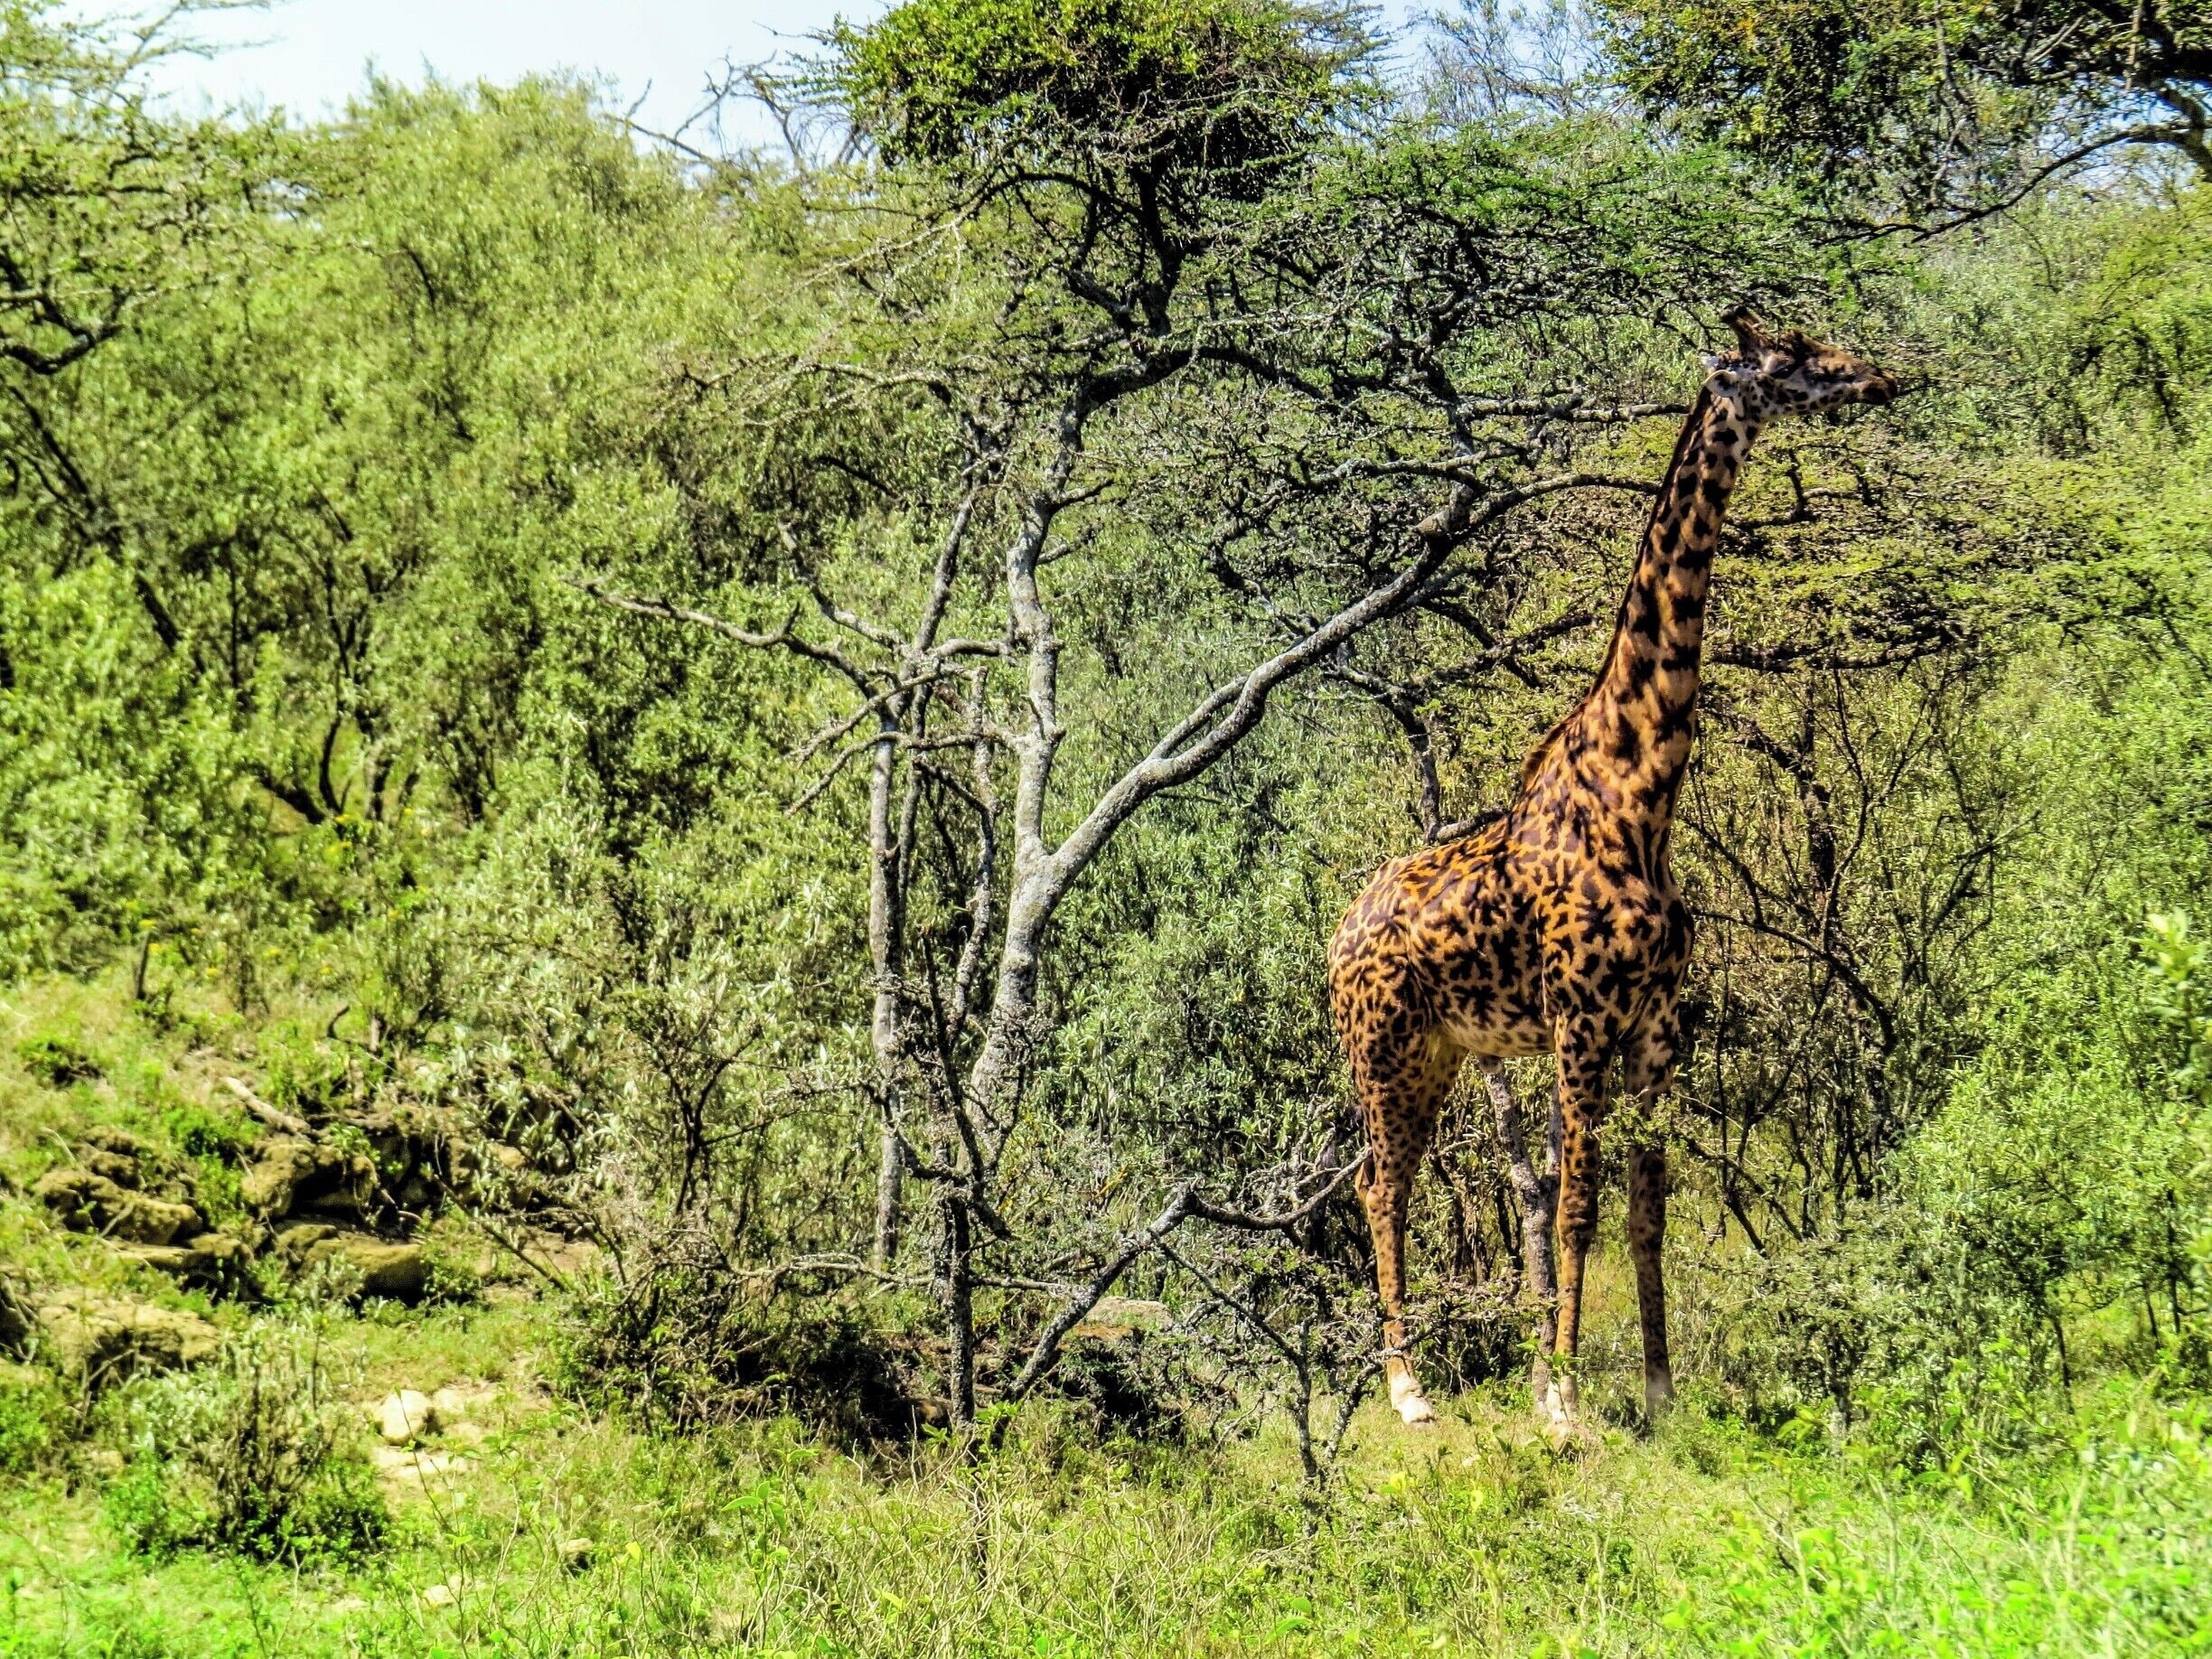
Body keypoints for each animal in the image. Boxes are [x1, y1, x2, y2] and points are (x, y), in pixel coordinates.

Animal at [1329, 307, 1898, 1430]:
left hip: (1441, 1052)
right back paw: (1408, 1391)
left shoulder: (1658, 1028)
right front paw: (1560, 1399)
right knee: (1380, 1184)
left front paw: (1658, 1390)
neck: (1642, 796)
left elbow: (1645, 1209)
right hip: (1381, 1048)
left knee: (1387, 1179)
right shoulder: (1581, 1019)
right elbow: (1577, 1207)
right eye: (1795, 358)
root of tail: (1332, 941)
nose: (1881, 380)